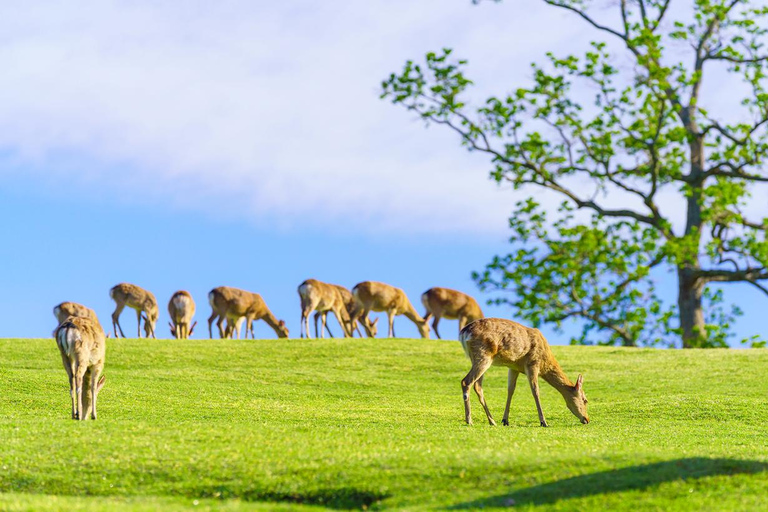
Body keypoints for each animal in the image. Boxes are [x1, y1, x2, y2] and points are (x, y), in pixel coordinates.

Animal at [460, 318, 592, 426]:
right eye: (585, 400)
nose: (587, 419)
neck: (545, 363)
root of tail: (463, 333)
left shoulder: (513, 367)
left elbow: (510, 390)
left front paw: (505, 420)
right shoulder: (532, 363)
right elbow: (535, 391)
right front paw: (543, 422)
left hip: (477, 358)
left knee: (477, 386)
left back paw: (492, 421)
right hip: (483, 354)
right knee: (466, 382)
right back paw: (469, 420)